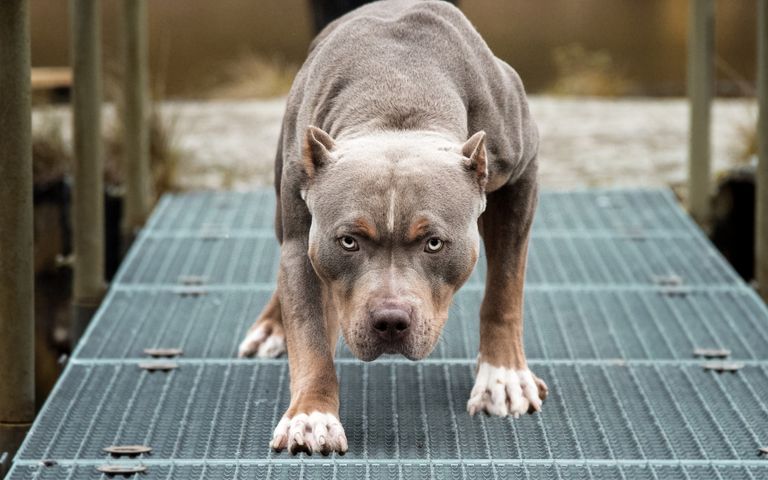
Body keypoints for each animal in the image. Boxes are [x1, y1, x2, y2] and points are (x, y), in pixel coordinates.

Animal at [238, 0, 547, 455]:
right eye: (348, 241)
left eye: (434, 243)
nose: (390, 322)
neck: (398, 98)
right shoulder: (301, 239)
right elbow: (309, 333)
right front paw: (312, 415)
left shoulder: (522, 176)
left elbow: (504, 289)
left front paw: (503, 376)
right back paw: (273, 328)